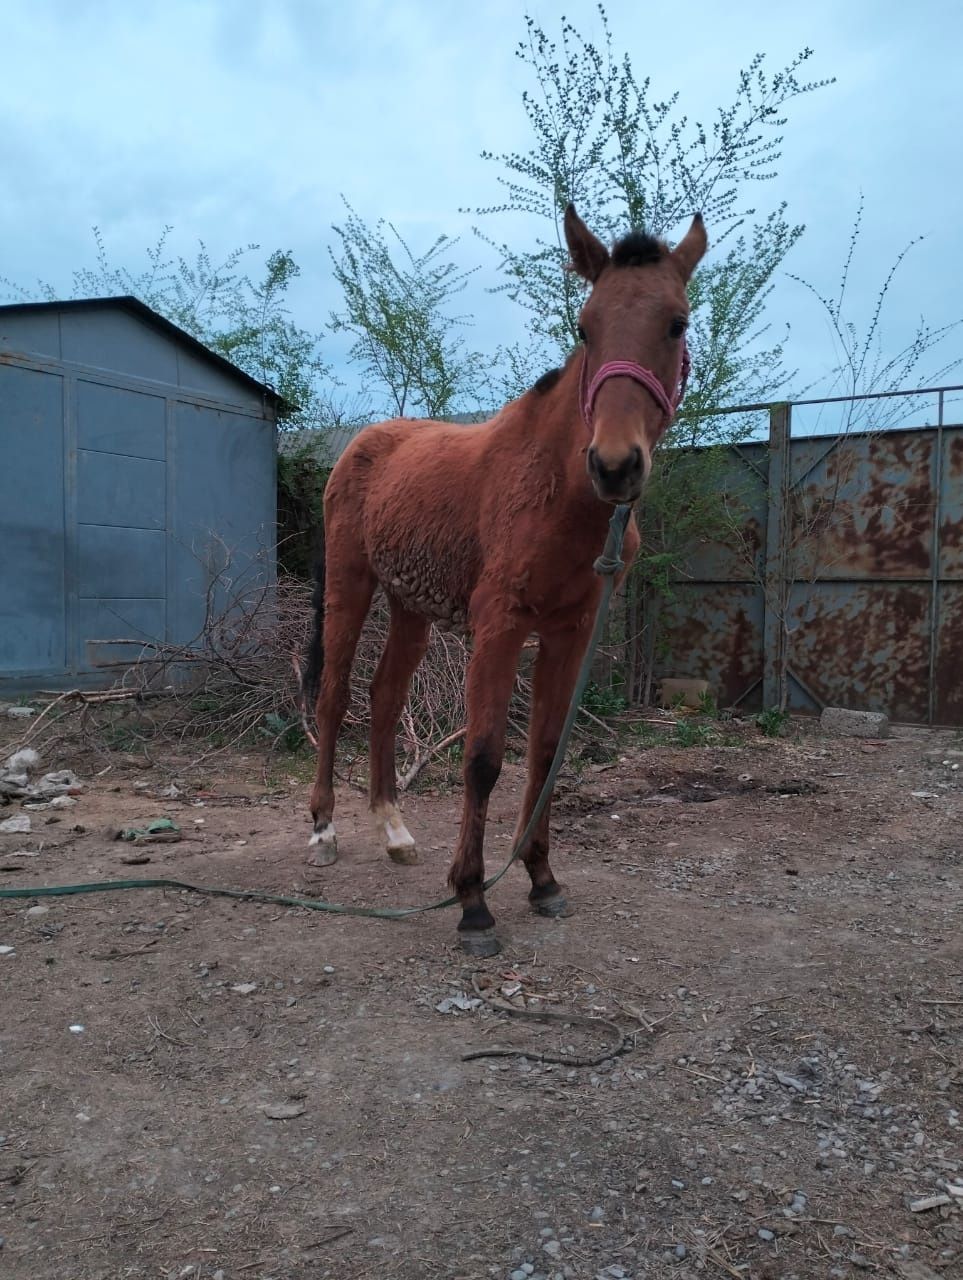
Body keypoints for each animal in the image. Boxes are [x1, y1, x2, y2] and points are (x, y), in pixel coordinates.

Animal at [300, 204, 706, 957]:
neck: (561, 490)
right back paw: (324, 830)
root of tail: (359, 445)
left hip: (411, 607)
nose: (615, 465)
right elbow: (484, 758)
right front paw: (472, 901)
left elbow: (544, 754)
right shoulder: (500, 625)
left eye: (677, 322)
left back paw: (394, 831)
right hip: (351, 588)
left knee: (384, 699)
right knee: (334, 700)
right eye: (585, 325)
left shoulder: (569, 630)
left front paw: (542, 880)